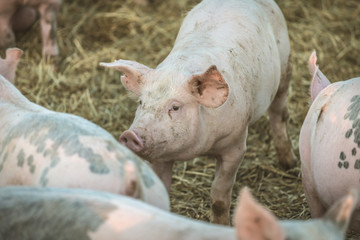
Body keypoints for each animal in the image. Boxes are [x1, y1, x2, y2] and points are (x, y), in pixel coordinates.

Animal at [100, 0, 296, 225]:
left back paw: (289, 164)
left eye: (175, 107)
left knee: (279, 112)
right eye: (141, 102)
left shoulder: (236, 145)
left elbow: (219, 196)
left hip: (285, 64)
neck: (200, 148)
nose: (130, 135)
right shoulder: (160, 155)